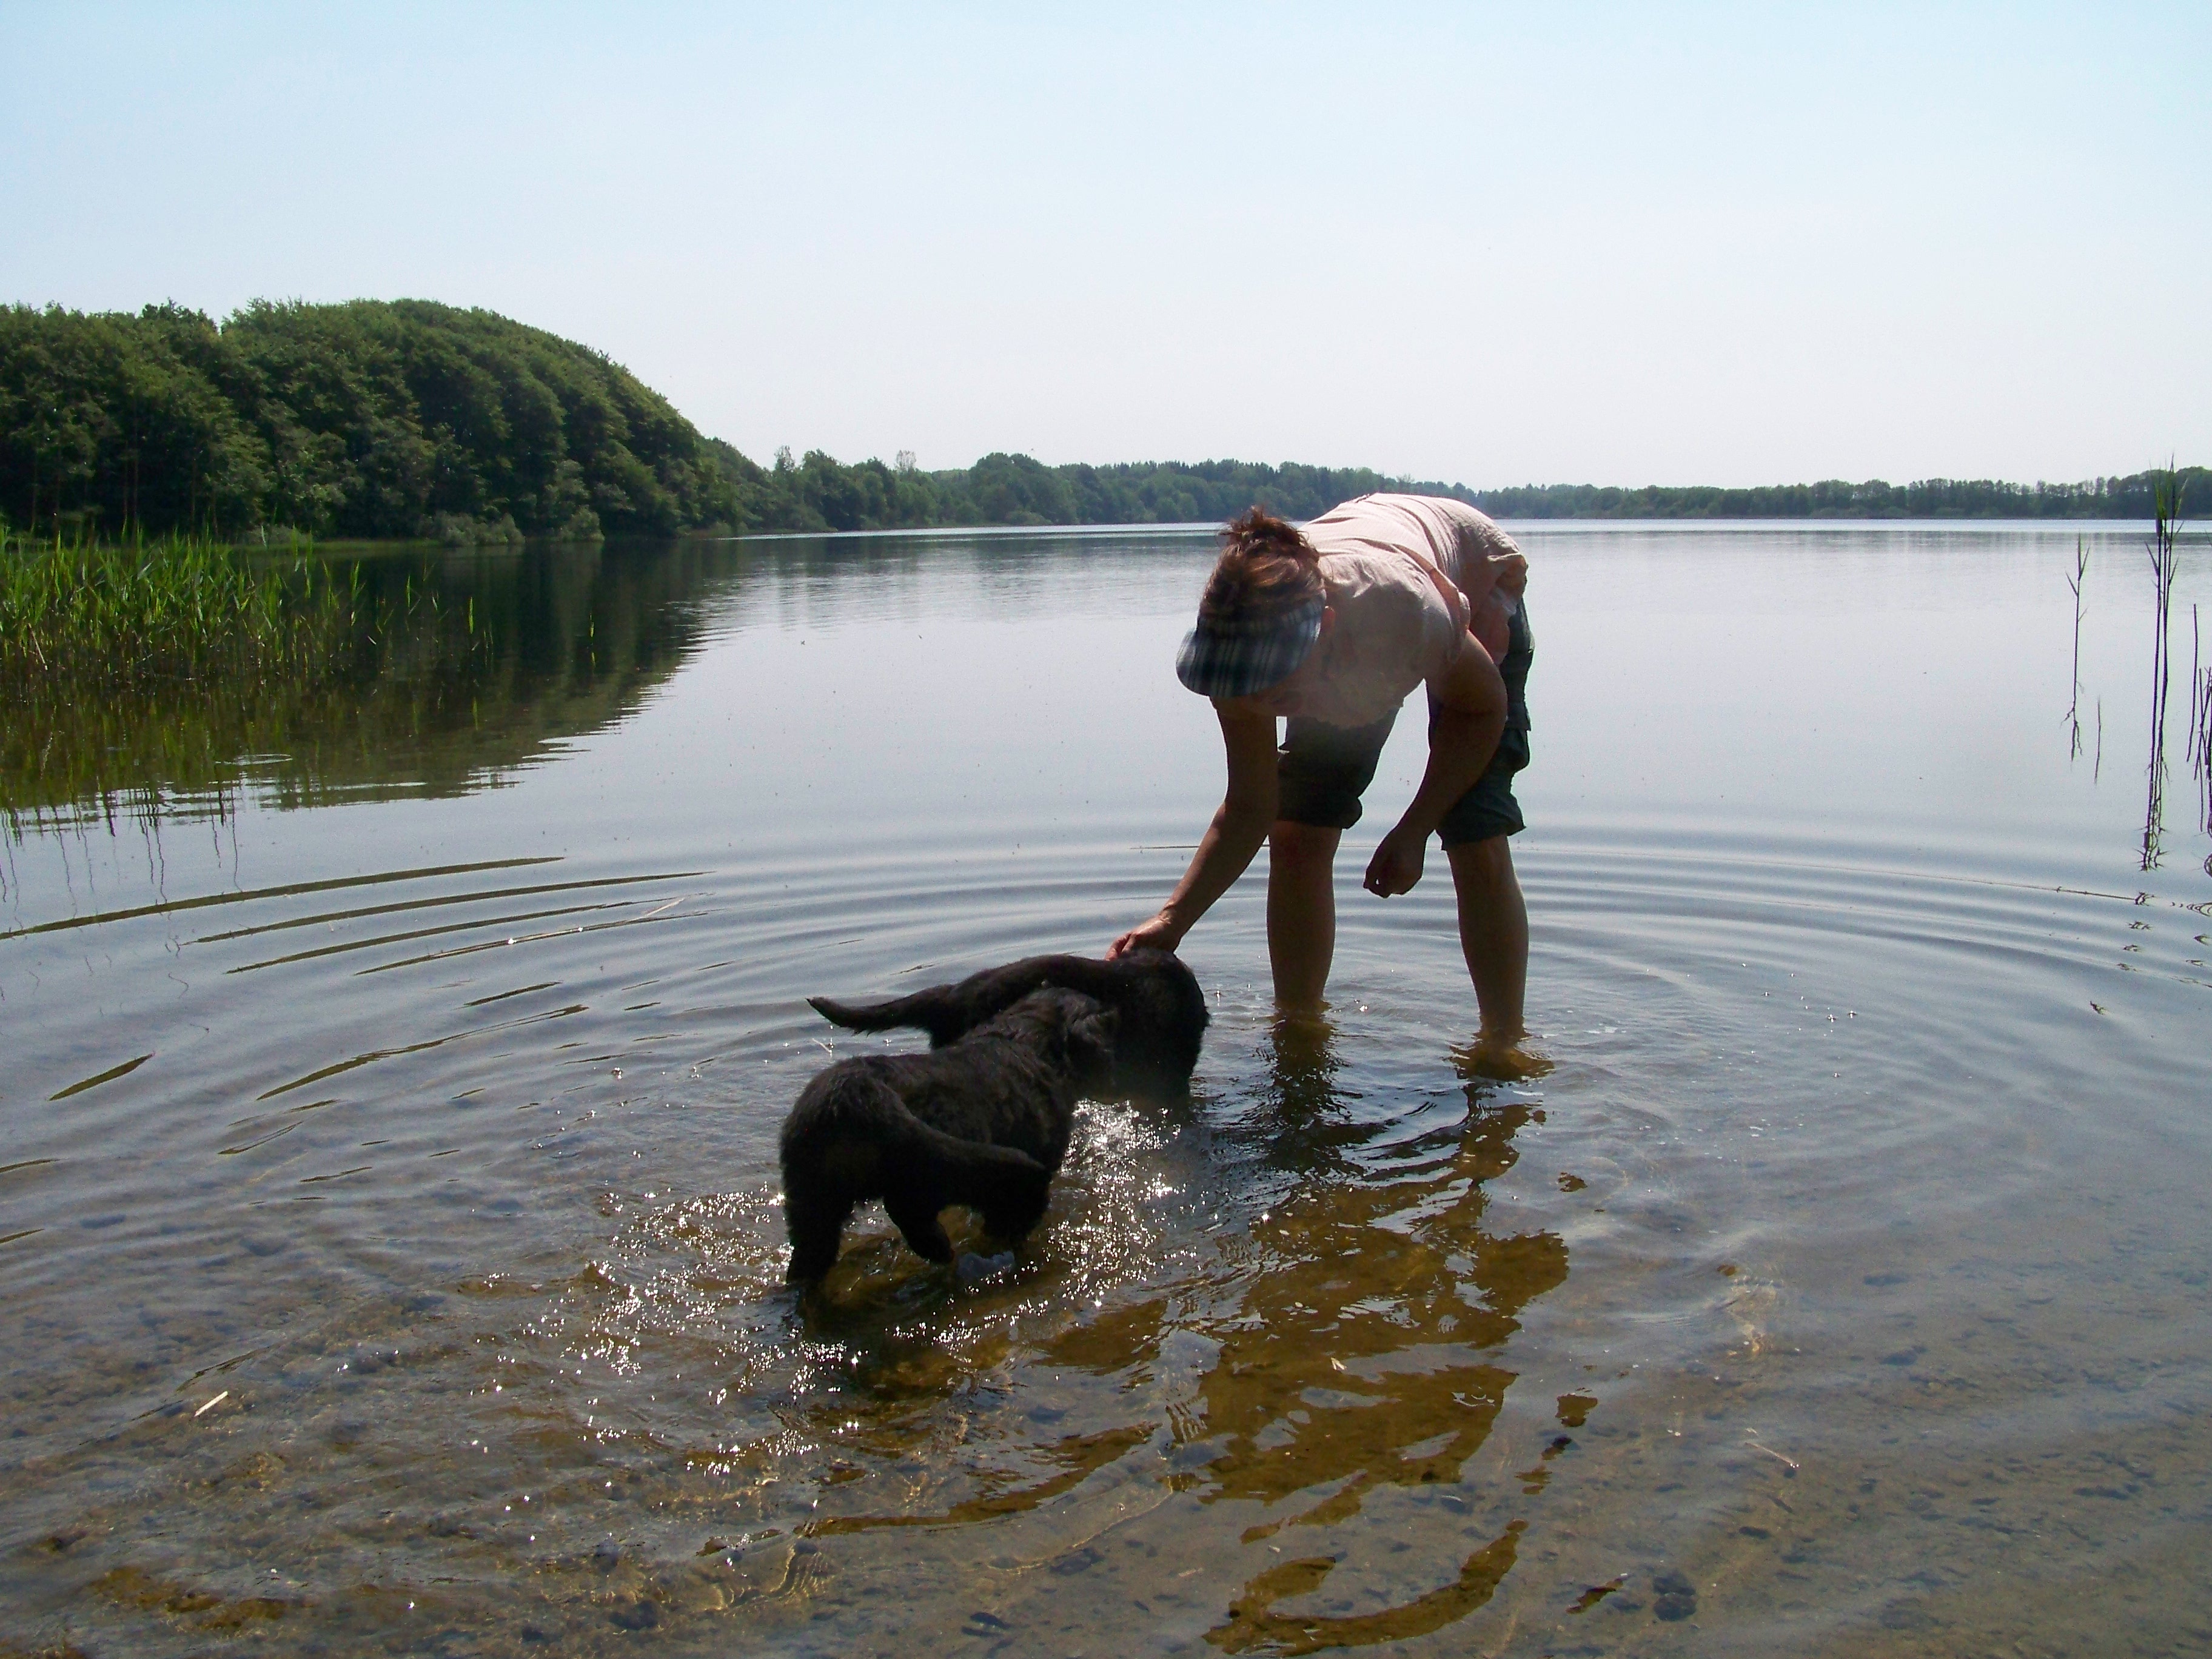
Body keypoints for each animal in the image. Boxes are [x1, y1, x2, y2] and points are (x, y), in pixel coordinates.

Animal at [783, 987, 1124, 1282]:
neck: (1027, 1038)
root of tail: (853, 1096)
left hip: (812, 1202)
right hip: (948, 1166)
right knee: (909, 1208)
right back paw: (941, 1248)